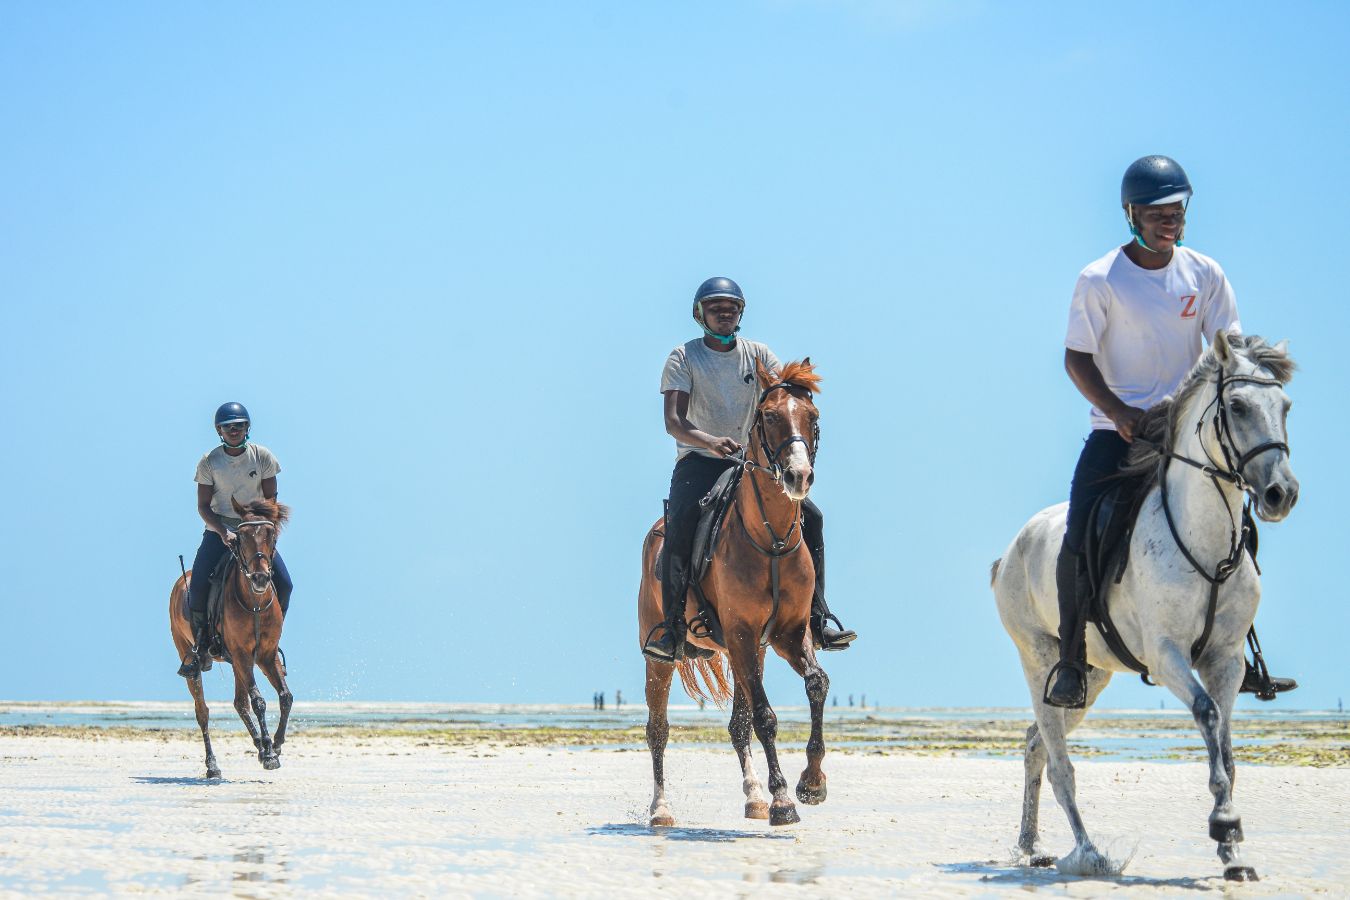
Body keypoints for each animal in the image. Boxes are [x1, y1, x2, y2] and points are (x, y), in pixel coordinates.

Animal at [169, 497, 293, 778]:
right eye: (242, 536)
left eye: (271, 535)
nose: (260, 578)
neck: (255, 603)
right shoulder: (242, 654)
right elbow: (258, 701)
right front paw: (270, 754)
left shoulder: (265, 655)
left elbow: (285, 696)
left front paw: (275, 745)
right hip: (191, 657)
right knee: (202, 711)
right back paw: (213, 765)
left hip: (237, 662)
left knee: (239, 703)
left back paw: (259, 745)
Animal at [638, 359, 830, 828]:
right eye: (770, 417)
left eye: (813, 417)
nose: (799, 476)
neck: (771, 539)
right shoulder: (742, 633)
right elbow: (765, 716)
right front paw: (783, 800)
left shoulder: (786, 635)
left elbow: (816, 684)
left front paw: (811, 783)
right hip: (661, 658)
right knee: (658, 729)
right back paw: (661, 808)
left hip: (751, 651)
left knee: (737, 725)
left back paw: (753, 796)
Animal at [992, 331, 1298, 881]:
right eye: (1237, 407)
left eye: (1284, 407)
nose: (1281, 493)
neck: (1205, 543)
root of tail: (1010, 552)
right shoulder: (1166, 654)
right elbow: (1207, 715)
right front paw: (1223, 824)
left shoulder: (1225, 660)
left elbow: (1227, 748)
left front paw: (1234, 852)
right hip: (1040, 661)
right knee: (1060, 764)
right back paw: (1088, 853)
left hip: (1090, 676)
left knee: (1034, 745)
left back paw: (1031, 846)